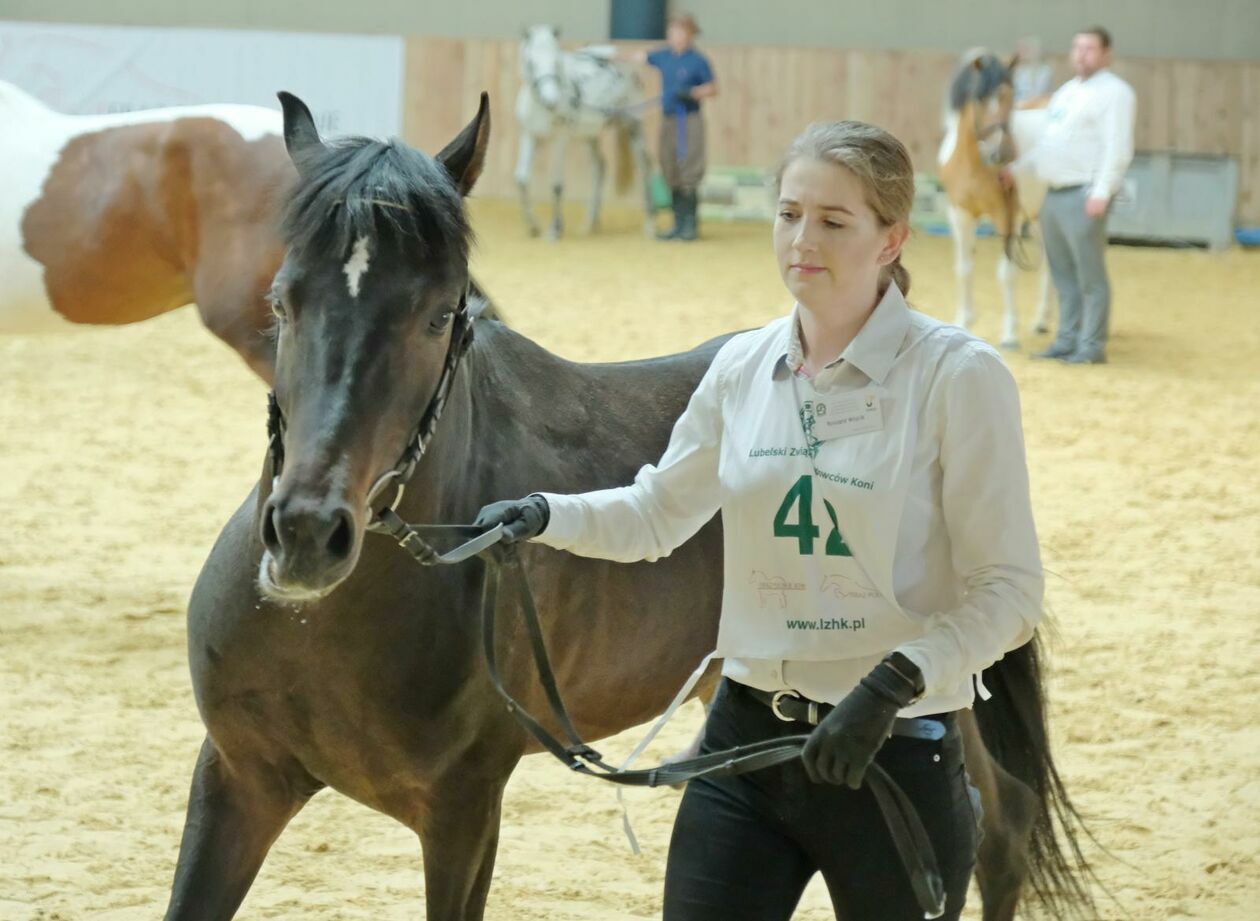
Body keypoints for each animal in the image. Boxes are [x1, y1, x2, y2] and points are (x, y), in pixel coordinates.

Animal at [167, 88, 1093, 921]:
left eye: (438, 315)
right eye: (282, 300)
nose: (307, 534)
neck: (322, 627)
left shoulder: (463, 813)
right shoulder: (238, 778)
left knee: (1000, 828)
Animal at [514, 27, 655, 239]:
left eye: (556, 61)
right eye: (531, 62)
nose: (551, 101)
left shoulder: (560, 139)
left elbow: (556, 185)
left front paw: (555, 230)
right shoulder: (530, 136)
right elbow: (522, 179)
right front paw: (533, 227)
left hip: (633, 124)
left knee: (644, 167)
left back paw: (650, 226)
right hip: (590, 135)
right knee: (600, 167)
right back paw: (590, 224)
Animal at [937, 52, 1053, 350]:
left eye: (1011, 95)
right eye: (980, 98)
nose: (1002, 154)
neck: (975, 163)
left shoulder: (1006, 216)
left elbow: (1006, 273)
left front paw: (1010, 334)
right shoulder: (960, 214)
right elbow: (964, 268)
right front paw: (964, 320)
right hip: (1036, 214)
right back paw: (1041, 321)